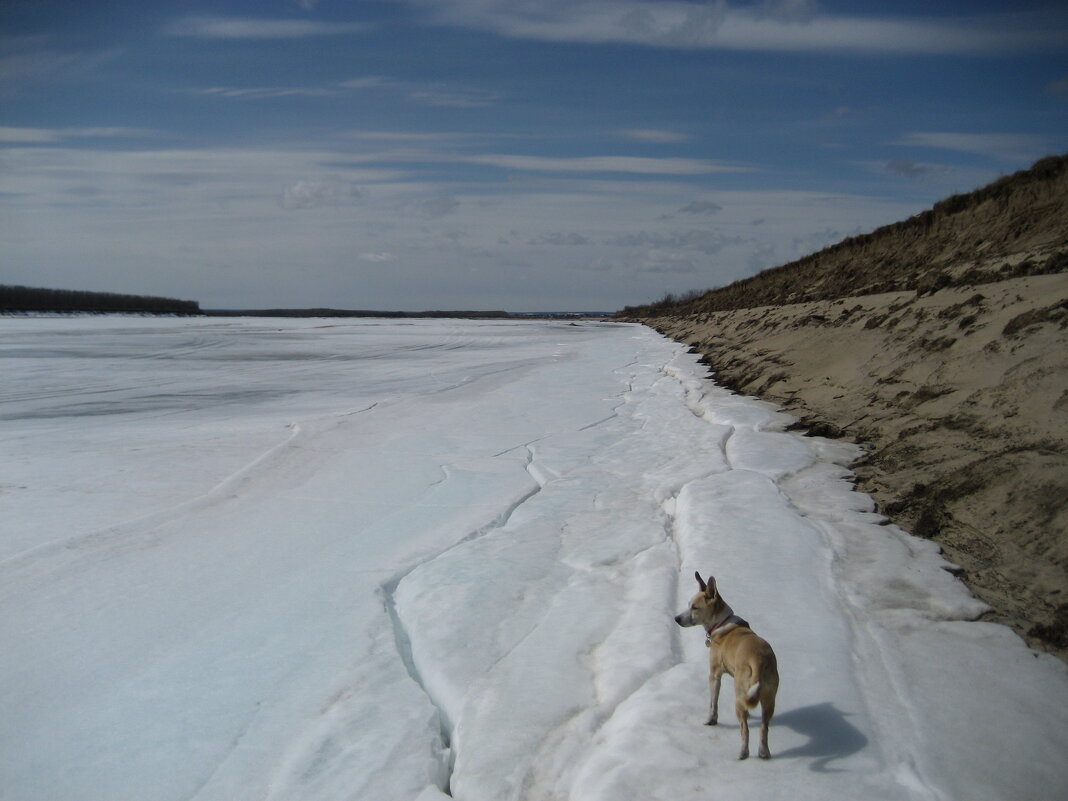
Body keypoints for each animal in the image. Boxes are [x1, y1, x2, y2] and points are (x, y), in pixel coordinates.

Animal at [670, 572, 781, 760]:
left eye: (695, 607)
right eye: (688, 604)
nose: (676, 619)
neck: (722, 623)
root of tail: (758, 660)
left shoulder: (714, 675)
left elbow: (713, 703)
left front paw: (710, 720)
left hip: (741, 693)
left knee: (745, 730)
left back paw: (742, 753)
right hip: (769, 698)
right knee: (764, 728)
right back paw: (763, 753)